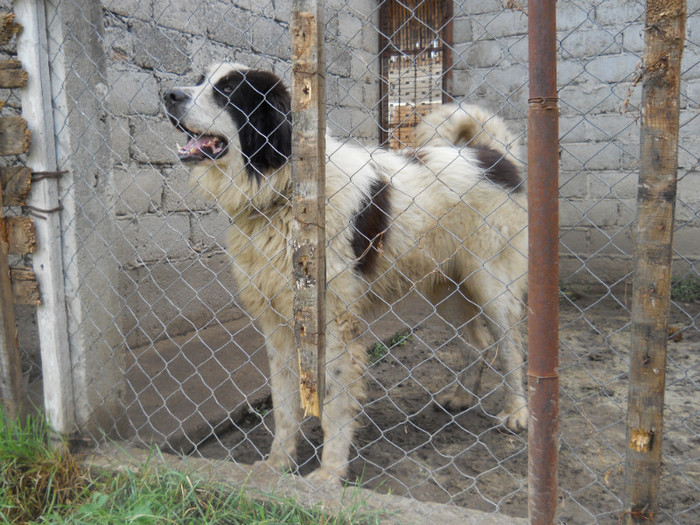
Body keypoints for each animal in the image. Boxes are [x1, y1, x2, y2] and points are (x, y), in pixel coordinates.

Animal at [163, 63, 524, 486]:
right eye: (199, 80)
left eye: (229, 90)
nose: (169, 95)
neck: (288, 192)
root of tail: (493, 155)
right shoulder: (277, 325)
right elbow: (284, 404)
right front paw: (277, 465)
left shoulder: (335, 324)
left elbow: (335, 402)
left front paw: (328, 475)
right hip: (446, 288)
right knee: (478, 342)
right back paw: (463, 396)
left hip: (492, 285)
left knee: (510, 347)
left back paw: (517, 412)